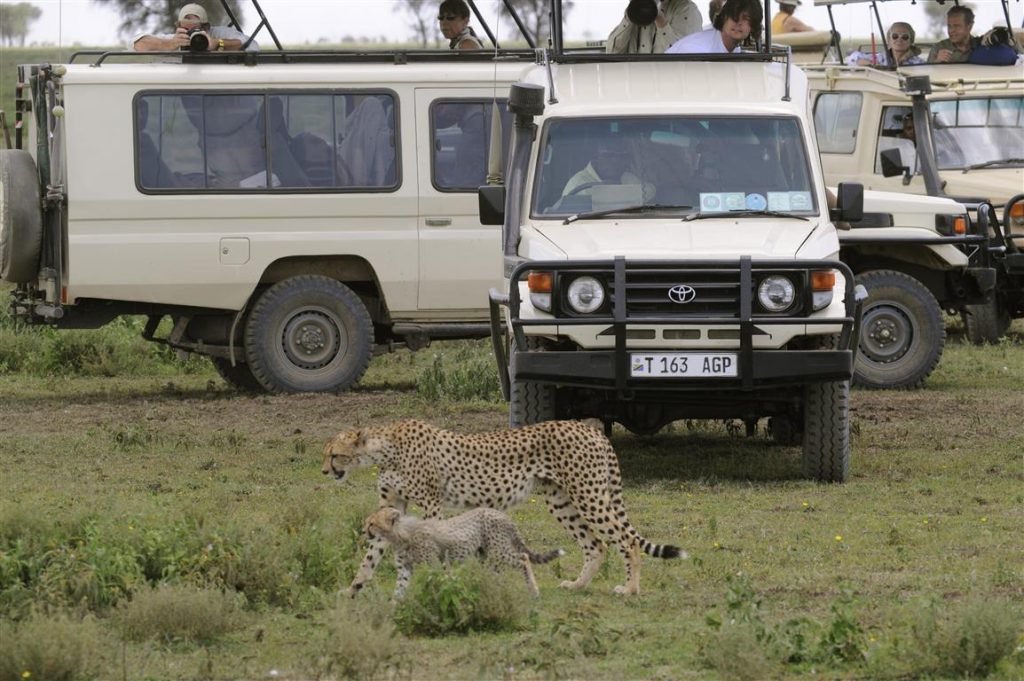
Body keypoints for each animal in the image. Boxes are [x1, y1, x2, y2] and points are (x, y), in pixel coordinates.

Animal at [364, 503, 565, 593]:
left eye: (372, 523)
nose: (363, 529)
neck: (400, 534)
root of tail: (502, 514)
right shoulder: (405, 568)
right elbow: (399, 590)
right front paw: (393, 610)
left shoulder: (433, 564)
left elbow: (436, 583)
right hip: (483, 555)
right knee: (493, 572)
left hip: (498, 550)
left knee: (523, 557)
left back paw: (533, 590)